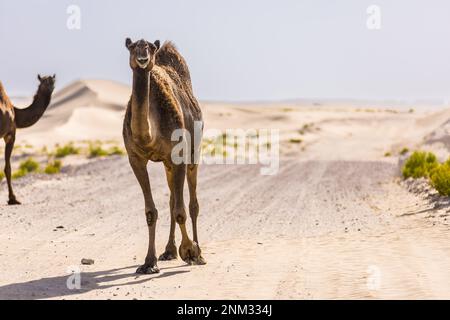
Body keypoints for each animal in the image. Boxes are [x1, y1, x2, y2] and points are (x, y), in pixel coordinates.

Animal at [0, 74, 56, 205]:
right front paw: (13, 199)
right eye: (43, 82)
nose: (51, 87)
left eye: (53, 81)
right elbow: (8, 168)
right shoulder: (10, 134)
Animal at [124, 37, 207, 272]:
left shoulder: (177, 156)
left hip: (192, 155)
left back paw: (198, 251)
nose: (143, 59)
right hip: (168, 165)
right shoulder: (135, 159)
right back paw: (169, 251)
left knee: (192, 204)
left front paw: (190, 251)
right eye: (131, 47)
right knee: (172, 200)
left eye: (151, 48)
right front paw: (148, 262)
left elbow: (181, 210)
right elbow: (151, 211)